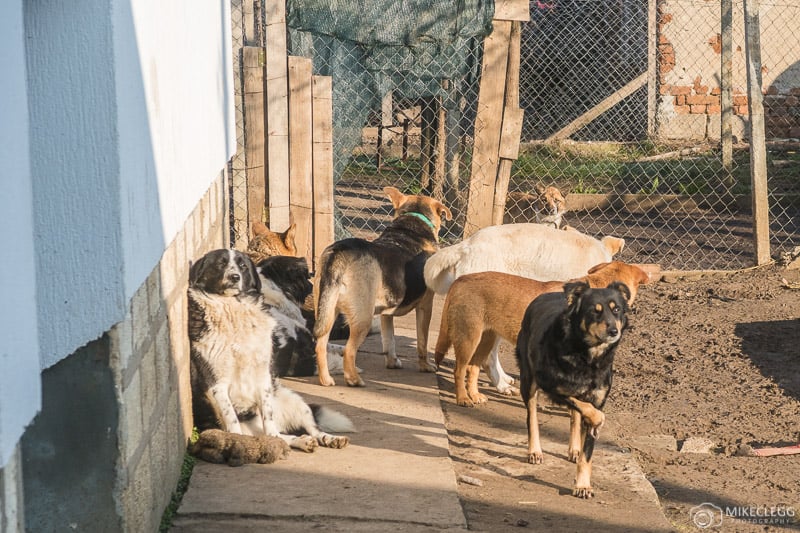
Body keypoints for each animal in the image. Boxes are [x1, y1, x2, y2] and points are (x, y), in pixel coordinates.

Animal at [188, 248, 354, 448]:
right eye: (220, 264)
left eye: (243, 265)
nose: (235, 277)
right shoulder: (217, 383)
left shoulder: (263, 376)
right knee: (282, 437)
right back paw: (301, 442)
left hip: (296, 402)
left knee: (307, 430)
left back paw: (328, 439)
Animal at [310, 187, 450, 386]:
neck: (412, 221)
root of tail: (339, 253)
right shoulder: (425, 306)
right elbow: (422, 342)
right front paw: (426, 366)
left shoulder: (386, 313)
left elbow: (389, 339)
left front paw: (392, 362)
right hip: (363, 318)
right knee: (349, 350)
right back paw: (354, 380)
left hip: (327, 312)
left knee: (321, 345)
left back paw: (326, 379)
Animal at [432, 260, 648, 408]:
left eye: (617, 309)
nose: (614, 331)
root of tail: (460, 279)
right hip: (468, 340)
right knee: (459, 370)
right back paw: (463, 398)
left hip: (485, 340)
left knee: (474, 367)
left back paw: (475, 395)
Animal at [520, 280, 632, 496]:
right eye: (595, 311)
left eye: (617, 310)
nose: (614, 331)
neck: (588, 357)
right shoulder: (551, 385)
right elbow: (585, 409)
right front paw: (598, 419)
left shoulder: (597, 397)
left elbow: (587, 452)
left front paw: (582, 485)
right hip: (528, 380)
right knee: (532, 416)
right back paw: (535, 451)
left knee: (575, 417)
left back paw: (574, 448)